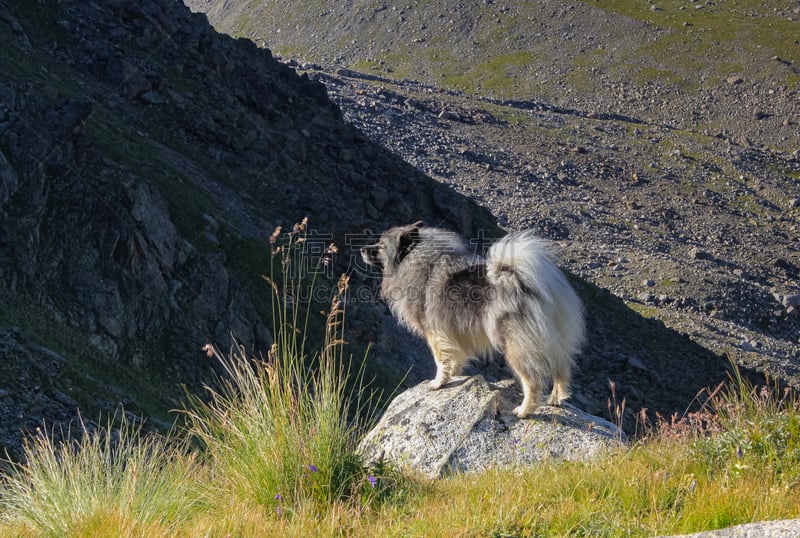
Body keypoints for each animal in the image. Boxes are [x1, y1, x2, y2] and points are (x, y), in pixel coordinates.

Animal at [360, 220, 580, 416]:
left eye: (381, 246)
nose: (362, 249)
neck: (417, 263)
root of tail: (529, 284)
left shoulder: (435, 333)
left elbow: (441, 361)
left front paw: (438, 383)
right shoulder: (454, 335)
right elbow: (455, 359)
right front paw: (454, 376)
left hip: (514, 344)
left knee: (533, 381)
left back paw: (524, 411)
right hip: (555, 339)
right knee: (562, 369)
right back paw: (555, 399)